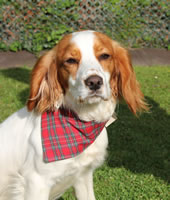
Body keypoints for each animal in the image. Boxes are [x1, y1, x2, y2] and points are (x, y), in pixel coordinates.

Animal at [0, 30, 147, 199]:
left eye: (105, 56)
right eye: (70, 60)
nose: (94, 82)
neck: (82, 123)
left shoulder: (83, 175)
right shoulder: (36, 182)